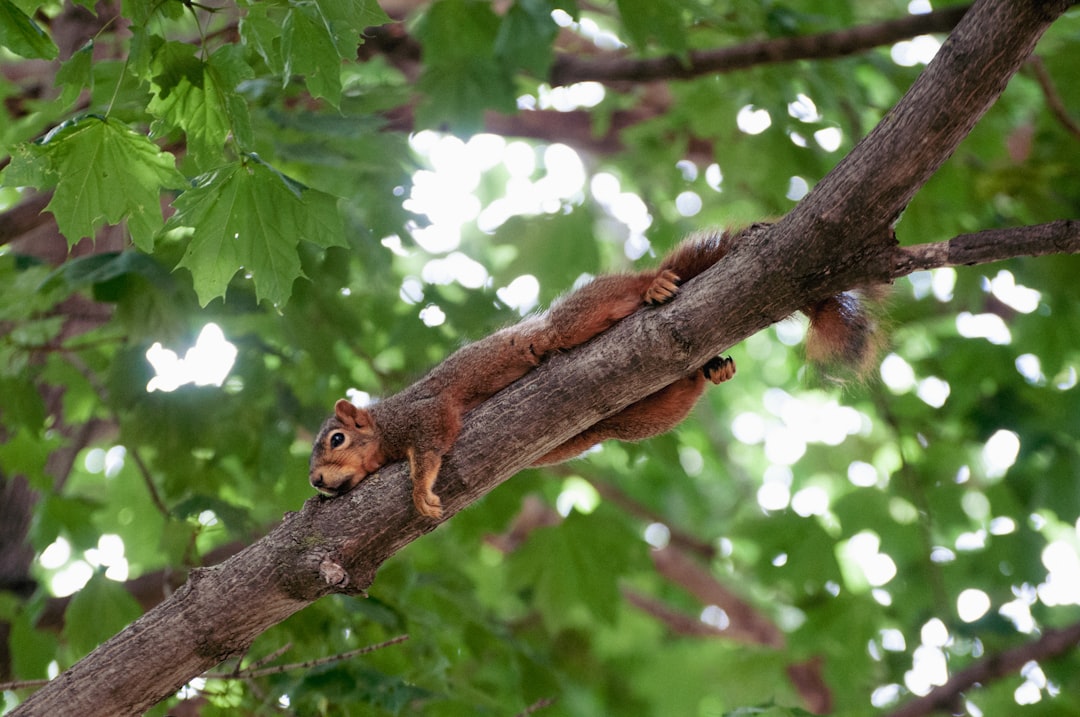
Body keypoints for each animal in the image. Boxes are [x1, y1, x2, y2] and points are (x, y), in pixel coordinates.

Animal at [306, 226, 876, 518]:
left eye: (335, 439)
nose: (314, 481)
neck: (383, 429)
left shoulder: (422, 414)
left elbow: (430, 445)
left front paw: (420, 492)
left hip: (567, 327)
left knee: (614, 295)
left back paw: (653, 285)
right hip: (634, 417)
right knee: (679, 388)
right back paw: (708, 371)